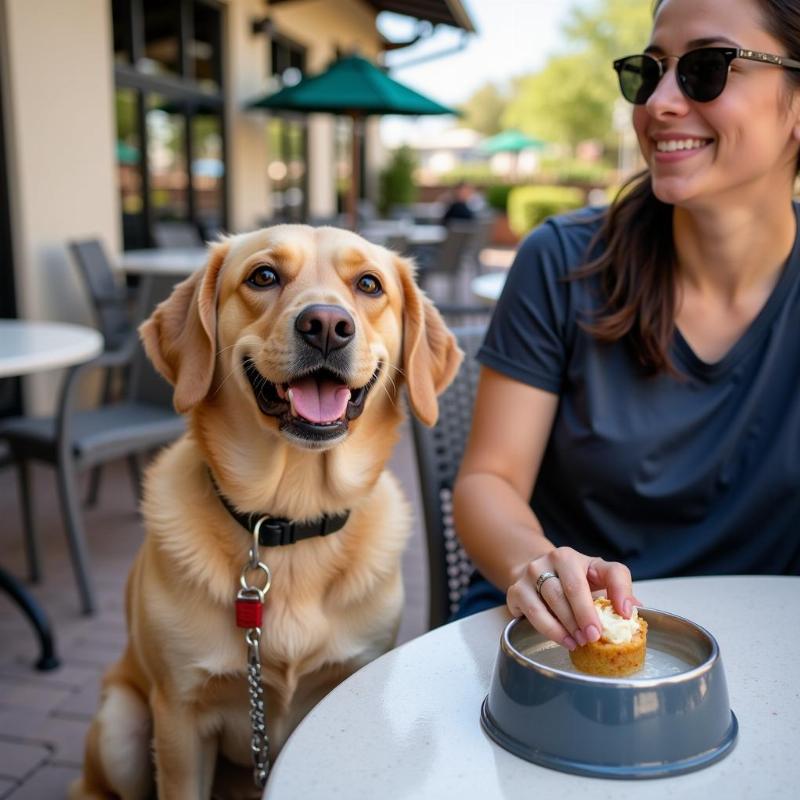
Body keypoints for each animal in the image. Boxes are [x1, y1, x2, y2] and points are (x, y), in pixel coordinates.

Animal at [69, 225, 462, 800]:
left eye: (369, 284)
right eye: (263, 276)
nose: (327, 326)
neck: (290, 520)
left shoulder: (348, 683)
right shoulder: (181, 718)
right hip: (124, 727)